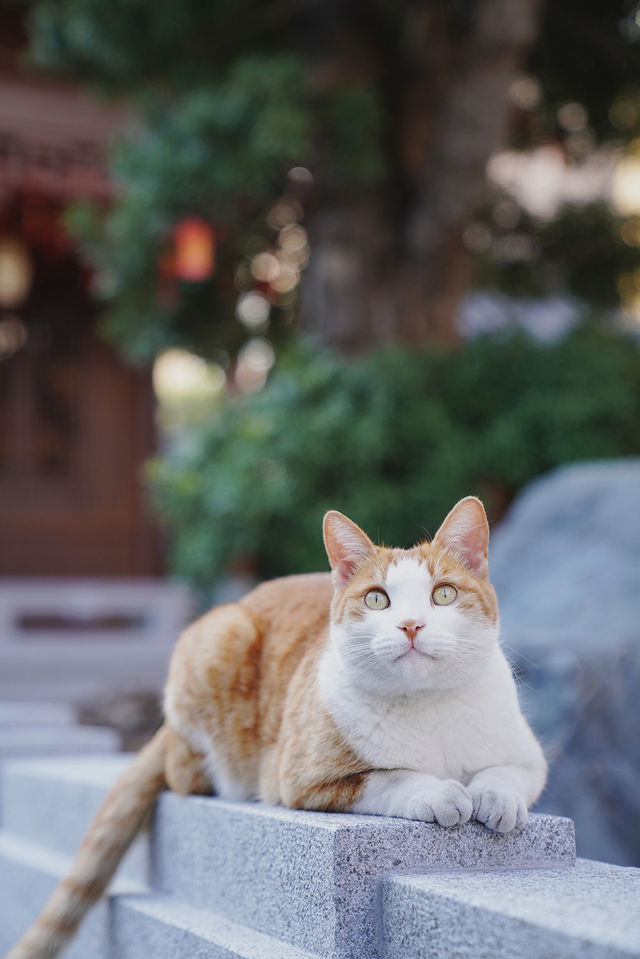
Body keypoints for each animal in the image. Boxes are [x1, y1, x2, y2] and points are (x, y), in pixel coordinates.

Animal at [7, 496, 548, 959]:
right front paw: (441, 793)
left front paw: (496, 798)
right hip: (220, 639)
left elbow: (508, 774)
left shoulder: (530, 758)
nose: (411, 625)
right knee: (186, 771)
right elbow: (392, 778)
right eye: (378, 600)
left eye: (444, 594)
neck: (428, 707)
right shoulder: (306, 778)